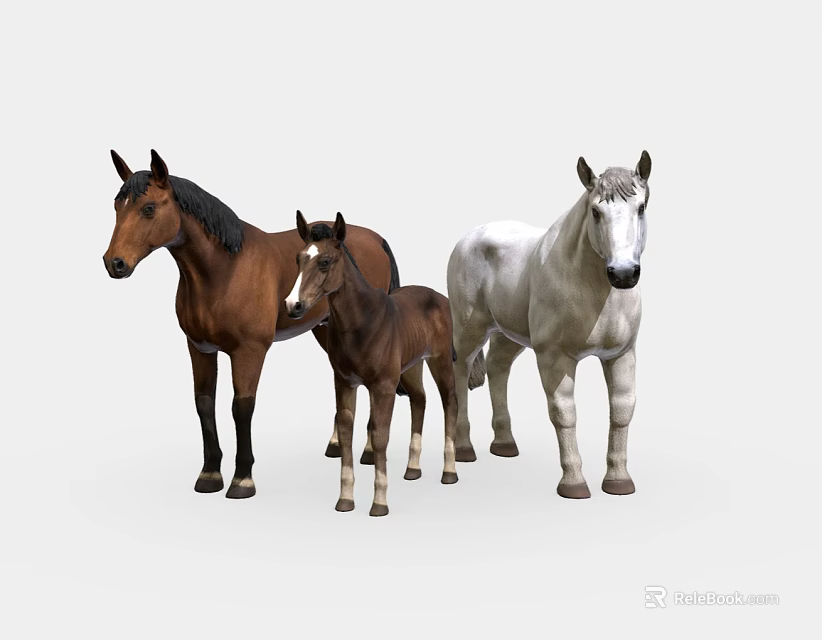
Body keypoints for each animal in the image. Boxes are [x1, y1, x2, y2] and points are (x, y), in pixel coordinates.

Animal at [102, 149, 401, 498]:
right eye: (116, 206)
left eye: (148, 208)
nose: (114, 263)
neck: (224, 270)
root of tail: (376, 239)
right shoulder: (200, 349)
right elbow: (204, 404)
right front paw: (209, 474)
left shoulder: (249, 351)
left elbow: (241, 408)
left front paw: (242, 479)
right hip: (326, 328)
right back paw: (337, 444)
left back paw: (366, 450)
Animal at [284, 211, 486, 516]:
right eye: (298, 259)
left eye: (325, 261)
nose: (292, 305)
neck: (362, 323)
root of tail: (439, 296)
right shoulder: (345, 383)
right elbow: (346, 432)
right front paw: (345, 501)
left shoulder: (383, 387)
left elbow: (380, 436)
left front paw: (379, 503)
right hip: (412, 366)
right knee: (419, 399)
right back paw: (413, 469)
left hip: (439, 361)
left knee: (450, 401)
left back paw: (449, 471)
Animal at [447, 151, 652, 499]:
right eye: (596, 211)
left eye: (641, 207)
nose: (624, 274)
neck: (592, 288)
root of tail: (469, 237)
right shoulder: (555, 357)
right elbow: (564, 413)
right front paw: (573, 483)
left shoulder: (620, 355)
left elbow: (622, 409)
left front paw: (618, 481)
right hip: (469, 331)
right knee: (460, 373)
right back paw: (463, 448)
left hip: (509, 334)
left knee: (498, 368)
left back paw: (504, 444)